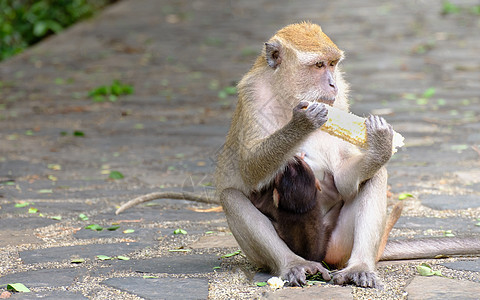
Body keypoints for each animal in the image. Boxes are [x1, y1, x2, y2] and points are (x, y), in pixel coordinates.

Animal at [116, 21, 480, 288]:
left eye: (333, 65)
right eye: (318, 65)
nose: (332, 84)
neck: (286, 94)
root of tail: (324, 256)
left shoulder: (341, 102)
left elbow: (346, 178)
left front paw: (379, 144)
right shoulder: (252, 94)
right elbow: (249, 172)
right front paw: (302, 122)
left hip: (338, 245)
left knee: (374, 179)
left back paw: (359, 267)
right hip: (267, 254)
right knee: (233, 197)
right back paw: (292, 264)